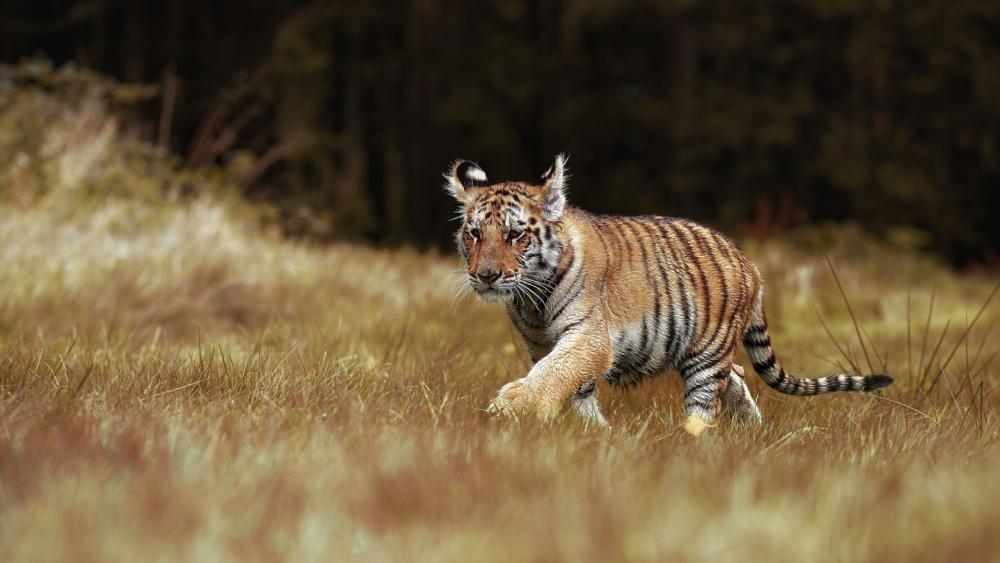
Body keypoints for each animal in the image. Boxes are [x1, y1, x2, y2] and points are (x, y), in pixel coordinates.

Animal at [447, 154, 893, 435]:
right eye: (474, 234)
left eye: (514, 235)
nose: (486, 276)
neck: (531, 299)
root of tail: (750, 263)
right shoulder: (541, 343)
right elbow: (572, 386)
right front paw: (594, 433)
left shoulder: (589, 337)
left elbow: (557, 372)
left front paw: (509, 405)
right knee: (738, 374)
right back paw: (753, 429)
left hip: (707, 355)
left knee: (708, 400)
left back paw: (693, 439)